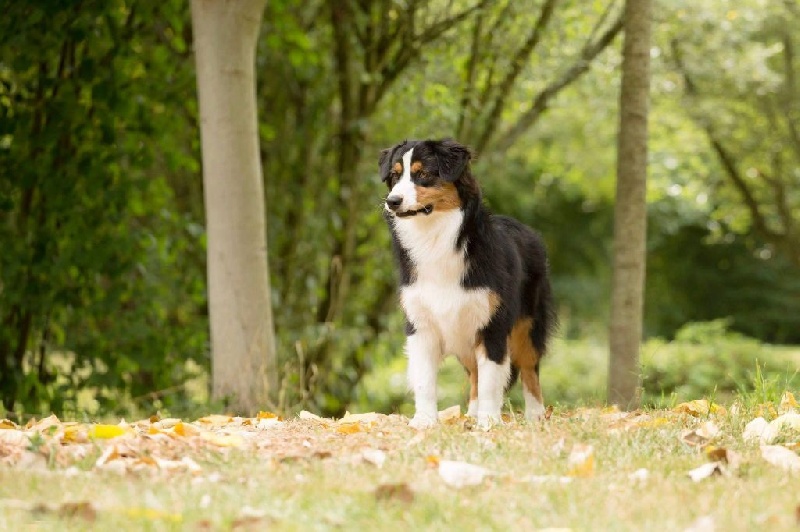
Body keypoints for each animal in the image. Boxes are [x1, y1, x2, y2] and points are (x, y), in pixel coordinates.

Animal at [382, 139, 556, 430]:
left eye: (423, 174)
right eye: (395, 176)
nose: (392, 201)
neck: (435, 238)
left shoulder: (492, 323)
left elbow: (491, 380)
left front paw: (489, 422)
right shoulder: (421, 324)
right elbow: (425, 380)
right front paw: (425, 420)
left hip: (527, 324)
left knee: (529, 368)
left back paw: (535, 415)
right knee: (475, 372)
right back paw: (472, 413)